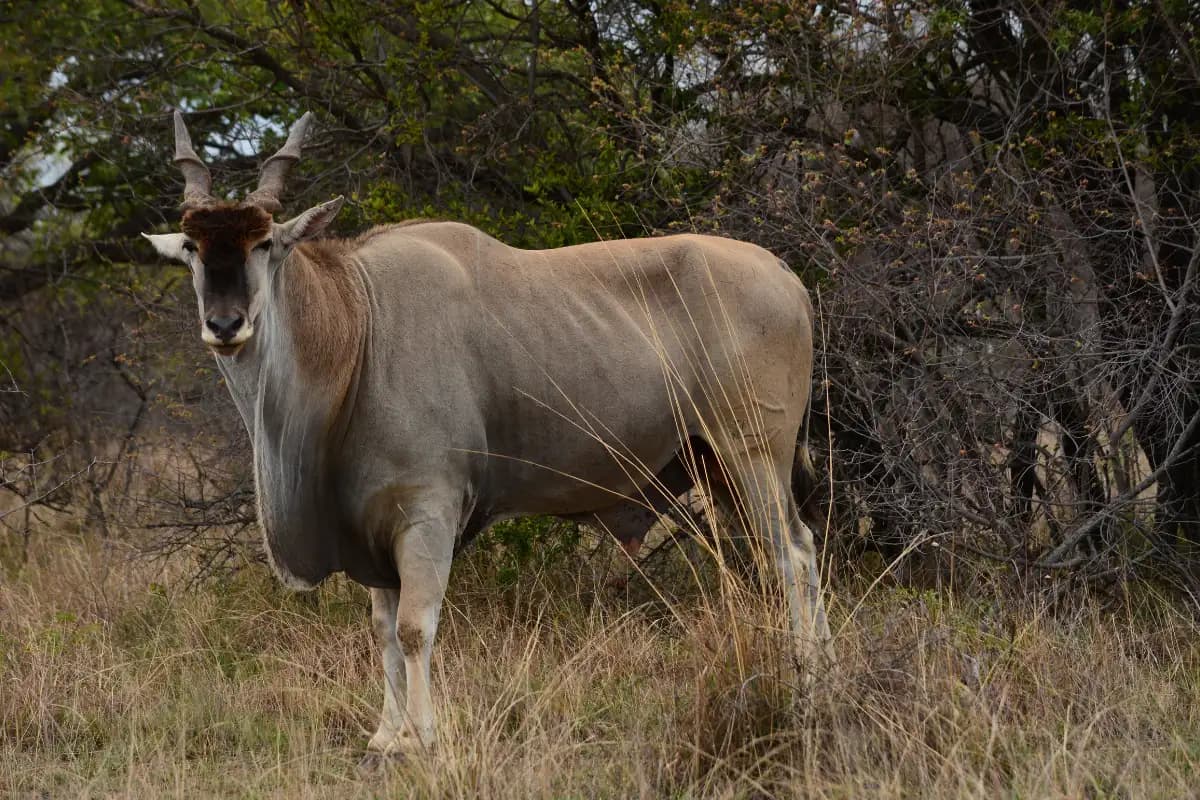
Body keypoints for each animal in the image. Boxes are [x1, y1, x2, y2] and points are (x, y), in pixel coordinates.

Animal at [142, 110, 832, 761]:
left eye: (263, 244)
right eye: (194, 250)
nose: (224, 324)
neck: (357, 324)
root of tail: (787, 276)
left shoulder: (427, 512)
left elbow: (415, 629)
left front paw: (420, 738)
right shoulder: (374, 533)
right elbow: (383, 631)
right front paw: (384, 738)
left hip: (750, 452)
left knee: (792, 555)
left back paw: (805, 689)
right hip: (713, 465)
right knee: (794, 549)